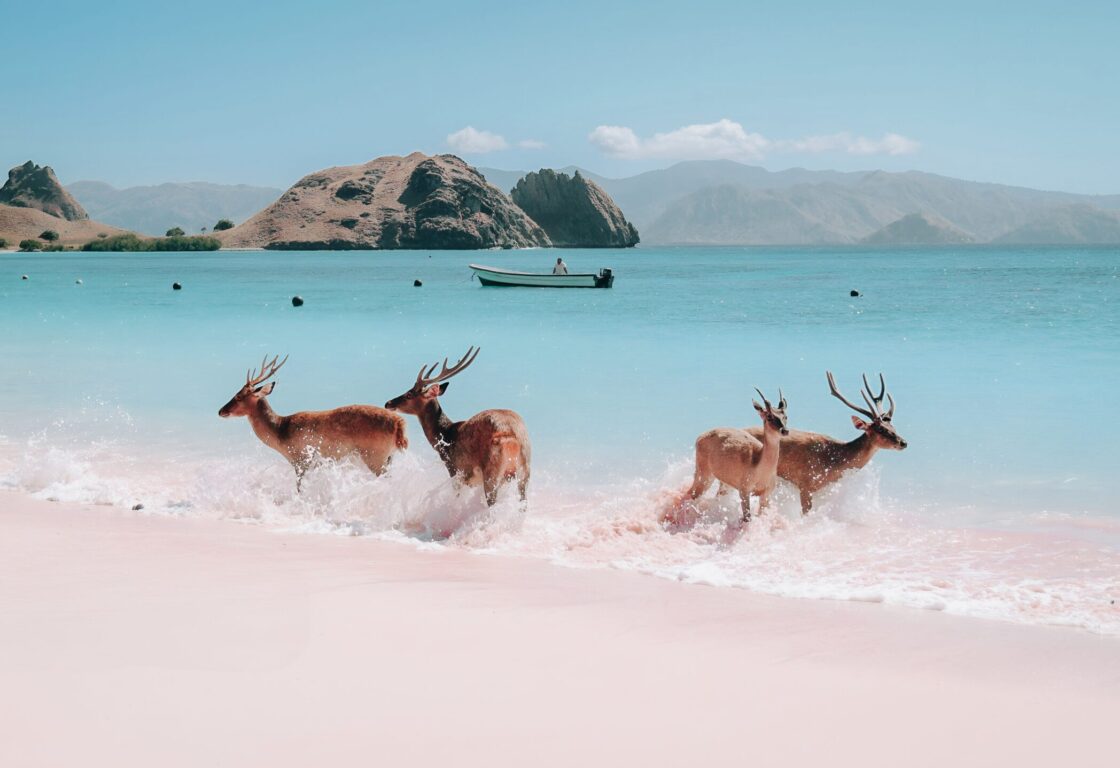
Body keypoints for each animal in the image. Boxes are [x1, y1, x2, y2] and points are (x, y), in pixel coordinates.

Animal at [218, 355, 408, 488]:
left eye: (239, 396)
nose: (221, 411)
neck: (280, 433)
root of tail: (399, 424)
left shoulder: (301, 459)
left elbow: (299, 488)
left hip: (375, 456)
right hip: (388, 457)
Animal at [384, 346, 531, 507]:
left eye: (409, 394)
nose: (388, 403)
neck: (444, 436)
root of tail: (512, 435)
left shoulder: (455, 470)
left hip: (492, 472)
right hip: (525, 470)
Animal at [669, 388, 789, 526]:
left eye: (785, 416)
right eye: (769, 416)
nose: (784, 430)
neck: (759, 467)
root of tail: (699, 437)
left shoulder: (766, 495)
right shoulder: (744, 491)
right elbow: (747, 518)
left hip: (724, 484)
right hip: (703, 475)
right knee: (689, 494)